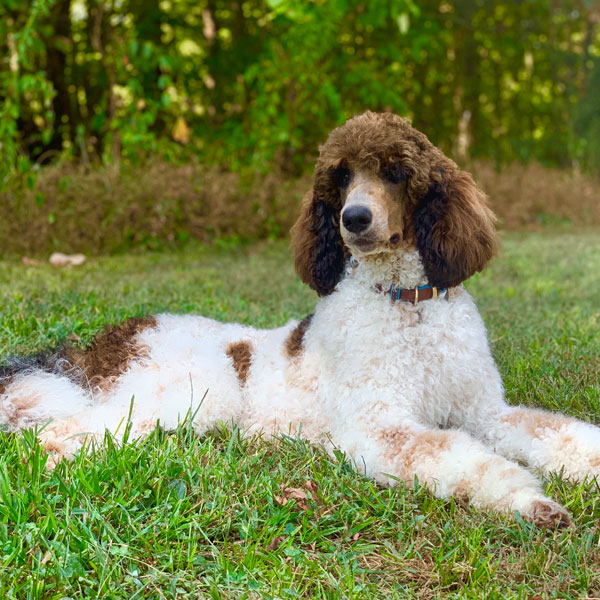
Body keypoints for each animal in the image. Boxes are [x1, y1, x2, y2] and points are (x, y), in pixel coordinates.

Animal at [1, 111, 600, 524]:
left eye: (396, 172)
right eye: (340, 177)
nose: (353, 219)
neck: (405, 303)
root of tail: (108, 341)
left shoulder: (483, 410)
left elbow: (554, 431)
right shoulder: (379, 425)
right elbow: (459, 455)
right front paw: (527, 499)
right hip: (184, 395)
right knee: (56, 435)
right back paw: (53, 467)